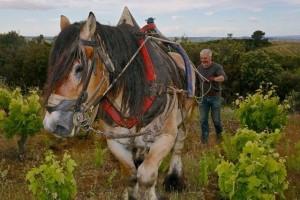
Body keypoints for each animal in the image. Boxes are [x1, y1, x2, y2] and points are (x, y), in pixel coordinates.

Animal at [43, 9, 196, 200]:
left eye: (79, 68)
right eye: (53, 66)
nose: (52, 124)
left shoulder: (165, 137)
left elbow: (147, 176)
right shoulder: (115, 141)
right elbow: (131, 175)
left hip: (185, 118)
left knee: (178, 146)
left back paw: (174, 179)